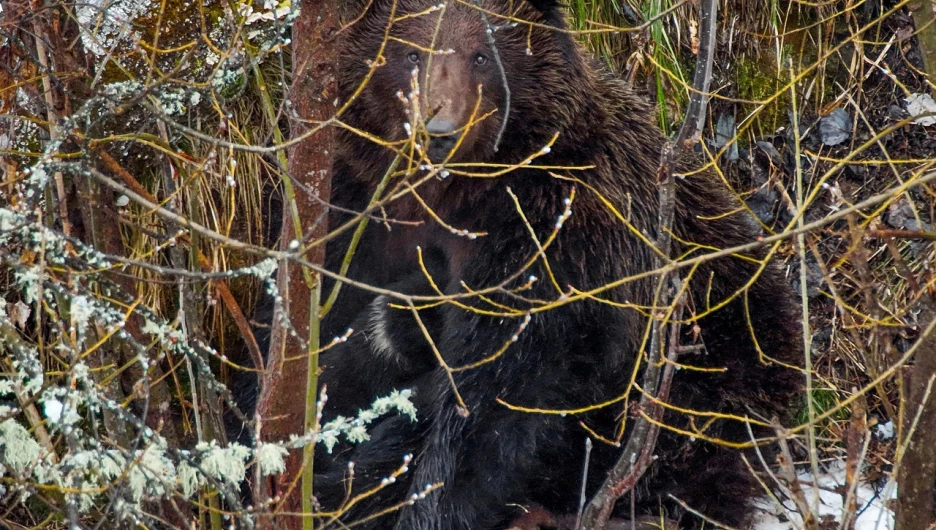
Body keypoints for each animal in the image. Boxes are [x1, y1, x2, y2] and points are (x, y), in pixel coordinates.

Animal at [312, 1, 796, 528]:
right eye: (410, 52)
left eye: (482, 55)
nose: (439, 133)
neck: (455, 194)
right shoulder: (361, 215)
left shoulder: (551, 232)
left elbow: (499, 395)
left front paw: (433, 503)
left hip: (715, 347)